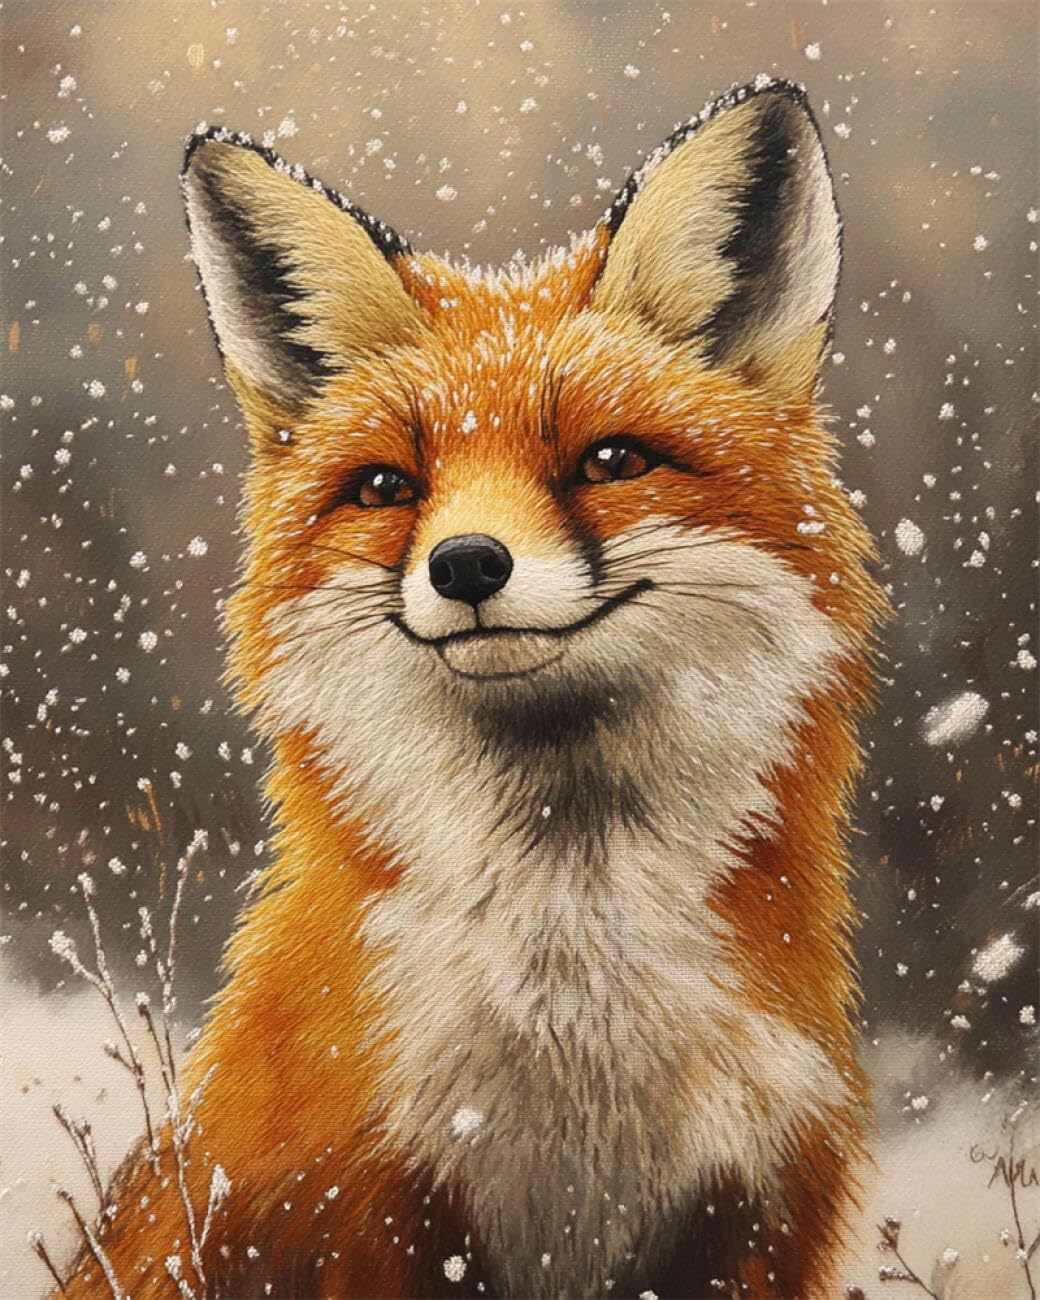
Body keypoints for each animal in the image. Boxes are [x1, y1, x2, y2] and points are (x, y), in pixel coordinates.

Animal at [61, 78, 886, 1299]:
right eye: (386, 487)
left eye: (608, 460)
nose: (464, 566)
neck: (576, 1021)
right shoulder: (360, 1207)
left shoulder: (754, 1213)